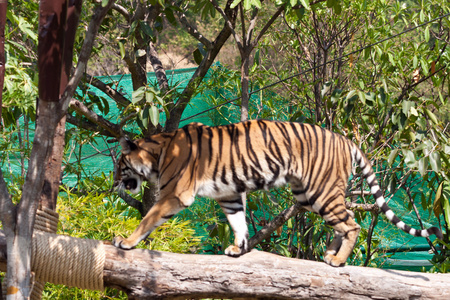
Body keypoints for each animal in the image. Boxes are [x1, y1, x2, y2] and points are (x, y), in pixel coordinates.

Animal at [113, 118, 442, 266]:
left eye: (120, 165)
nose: (113, 183)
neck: (158, 152)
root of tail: (344, 139)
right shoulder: (229, 195)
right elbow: (239, 222)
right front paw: (238, 248)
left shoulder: (175, 194)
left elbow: (148, 218)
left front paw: (125, 241)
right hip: (308, 194)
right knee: (346, 218)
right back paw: (330, 254)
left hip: (320, 191)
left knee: (352, 224)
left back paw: (337, 260)